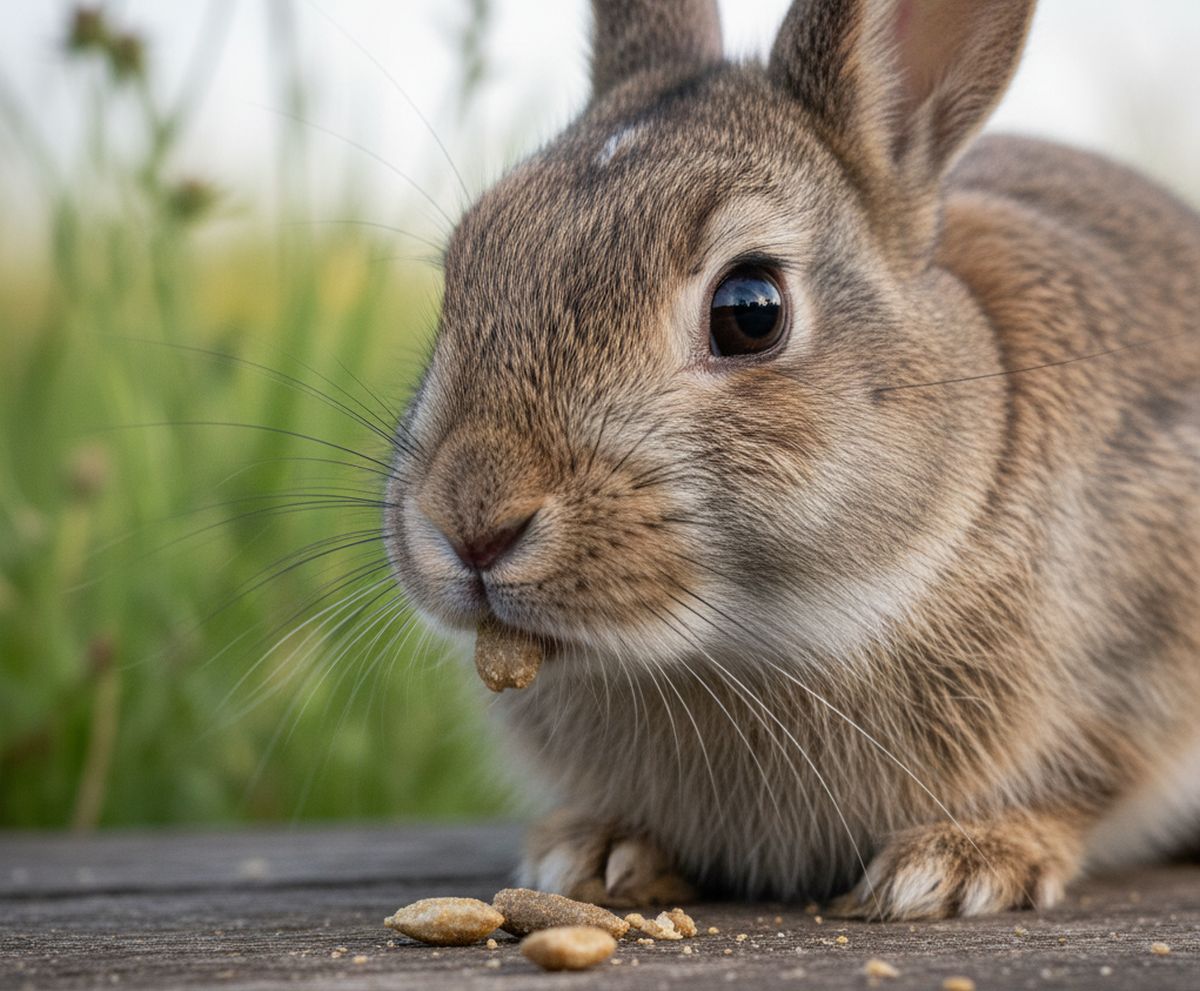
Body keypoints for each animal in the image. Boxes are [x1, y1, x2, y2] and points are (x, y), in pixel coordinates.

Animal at [384, 0, 1200, 919]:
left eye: (751, 310)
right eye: (462, 266)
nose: (471, 523)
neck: (751, 643)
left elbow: (1088, 780)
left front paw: (961, 866)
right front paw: (593, 854)